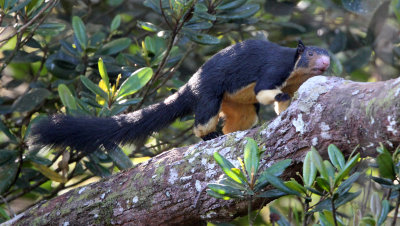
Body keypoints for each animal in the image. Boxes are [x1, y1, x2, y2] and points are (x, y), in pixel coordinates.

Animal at [30, 39, 332, 153]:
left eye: (328, 54)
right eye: (310, 53)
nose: (326, 63)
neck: (294, 74)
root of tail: (191, 83)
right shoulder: (274, 69)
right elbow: (266, 89)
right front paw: (283, 101)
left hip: (238, 105)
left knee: (240, 121)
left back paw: (229, 135)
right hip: (211, 93)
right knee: (204, 119)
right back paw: (209, 135)